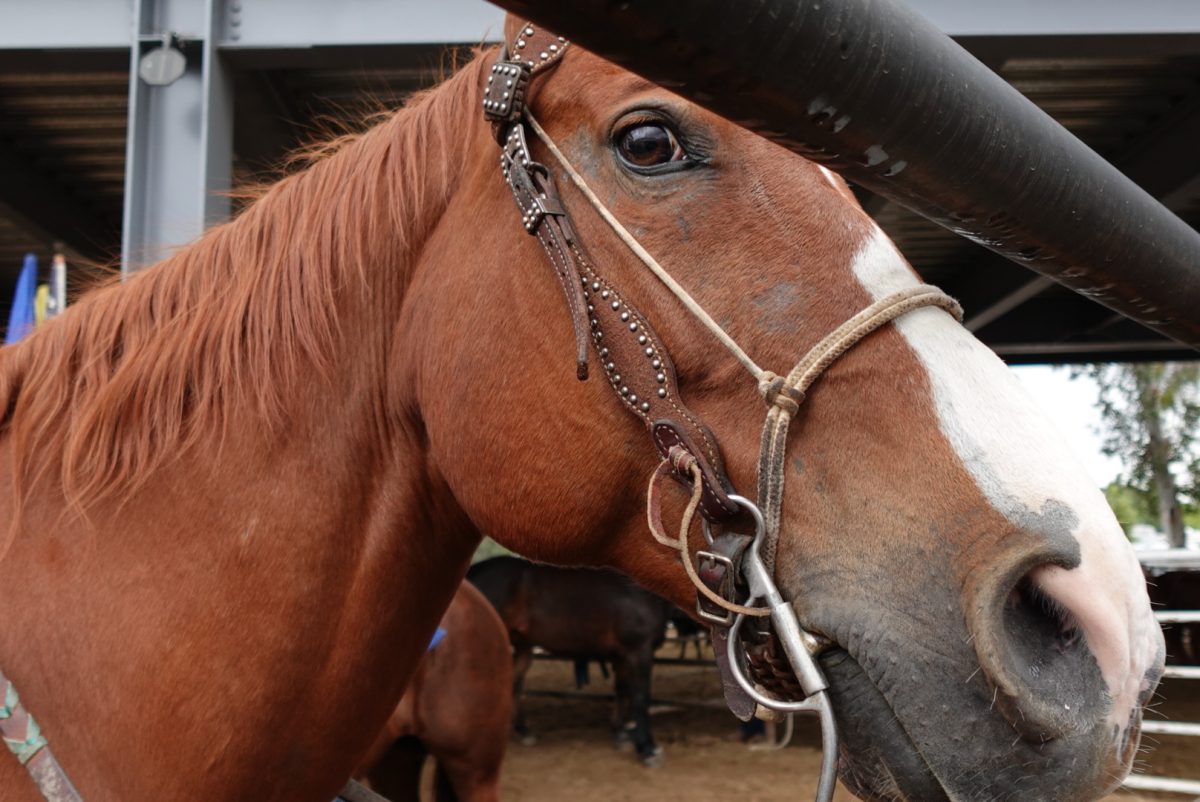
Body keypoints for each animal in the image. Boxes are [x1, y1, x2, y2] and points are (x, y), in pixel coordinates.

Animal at [468, 555, 672, 766]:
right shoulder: (639, 651)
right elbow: (641, 697)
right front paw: (647, 749)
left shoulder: (622, 655)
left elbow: (623, 691)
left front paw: (619, 733)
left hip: (523, 647)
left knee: (513, 684)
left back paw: (524, 732)